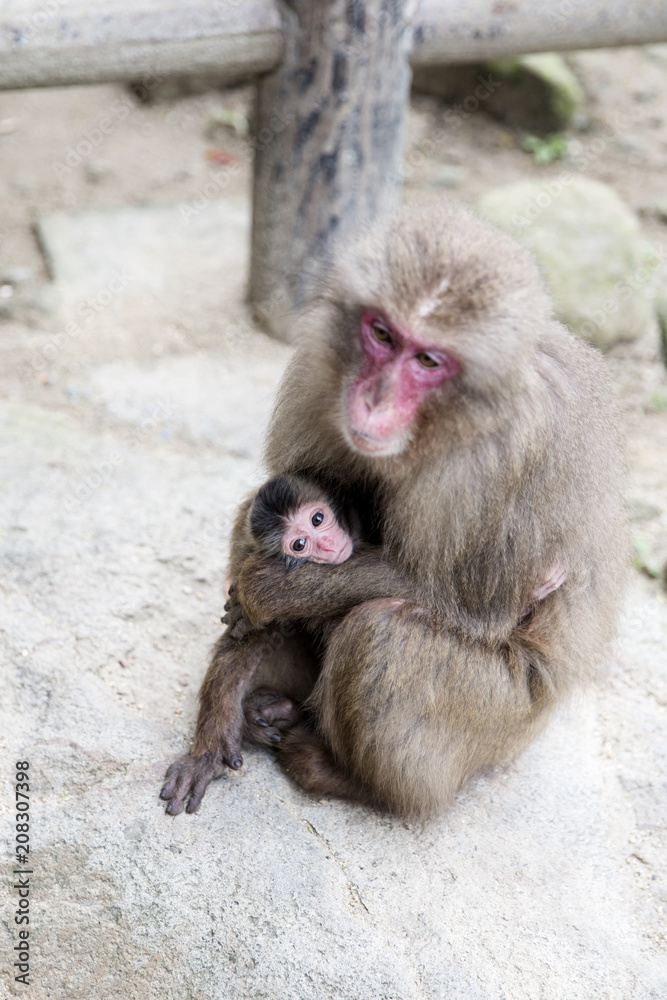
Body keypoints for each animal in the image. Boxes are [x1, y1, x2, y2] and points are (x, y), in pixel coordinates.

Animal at [161, 199, 625, 819]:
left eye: (428, 360)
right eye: (381, 334)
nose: (374, 400)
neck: (448, 420)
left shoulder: (500, 463)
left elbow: (475, 606)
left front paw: (266, 590)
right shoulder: (318, 372)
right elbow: (259, 523)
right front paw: (215, 726)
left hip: (501, 724)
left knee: (382, 628)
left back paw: (344, 774)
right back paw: (269, 712)